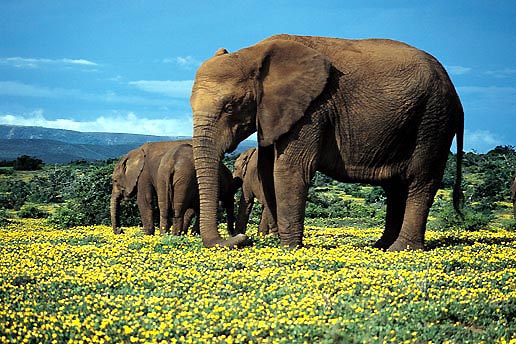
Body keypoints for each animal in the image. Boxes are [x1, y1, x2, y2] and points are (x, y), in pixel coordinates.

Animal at [189, 34, 464, 250]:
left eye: (230, 107)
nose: (241, 239)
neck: (252, 52)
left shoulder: (312, 108)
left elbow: (290, 169)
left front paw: (290, 249)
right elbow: (267, 172)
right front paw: (281, 244)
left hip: (433, 120)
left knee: (420, 180)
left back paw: (401, 249)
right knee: (395, 186)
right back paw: (381, 246)